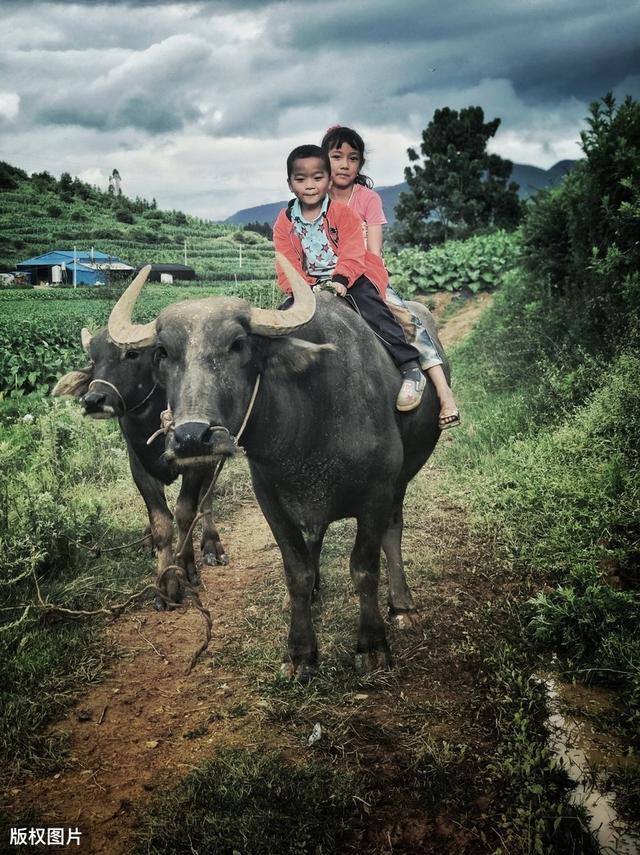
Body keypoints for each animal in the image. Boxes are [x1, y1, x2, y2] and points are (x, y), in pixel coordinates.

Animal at [106, 258, 444, 680]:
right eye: (163, 352)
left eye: (238, 344)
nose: (191, 437)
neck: (310, 413)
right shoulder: (271, 497)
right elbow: (296, 572)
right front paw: (300, 652)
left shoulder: (377, 493)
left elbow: (364, 568)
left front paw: (372, 646)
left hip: (402, 480)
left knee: (393, 532)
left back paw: (402, 605)